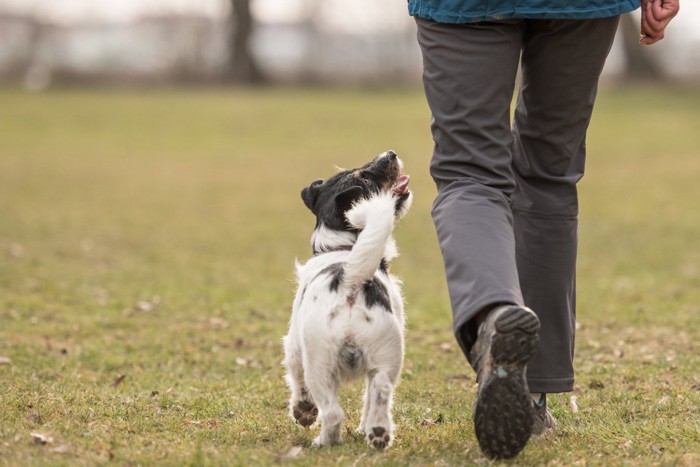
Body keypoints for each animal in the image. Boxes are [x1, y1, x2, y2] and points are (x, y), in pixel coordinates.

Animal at [284, 150, 410, 450]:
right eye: (364, 176)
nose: (390, 153)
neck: (343, 248)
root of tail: (351, 281)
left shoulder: (293, 346)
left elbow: (297, 381)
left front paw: (303, 411)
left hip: (320, 366)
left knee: (332, 413)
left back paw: (323, 441)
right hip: (386, 359)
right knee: (379, 394)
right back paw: (378, 433)